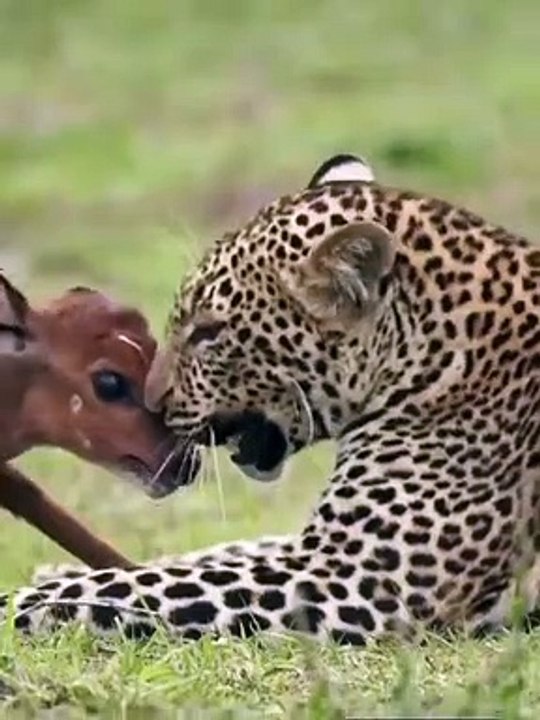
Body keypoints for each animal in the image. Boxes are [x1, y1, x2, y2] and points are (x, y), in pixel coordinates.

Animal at [3, 152, 540, 646]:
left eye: (209, 332)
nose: (156, 404)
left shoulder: (356, 577)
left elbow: (150, 587)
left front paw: (27, 599)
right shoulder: (319, 549)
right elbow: (212, 555)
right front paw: (57, 572)